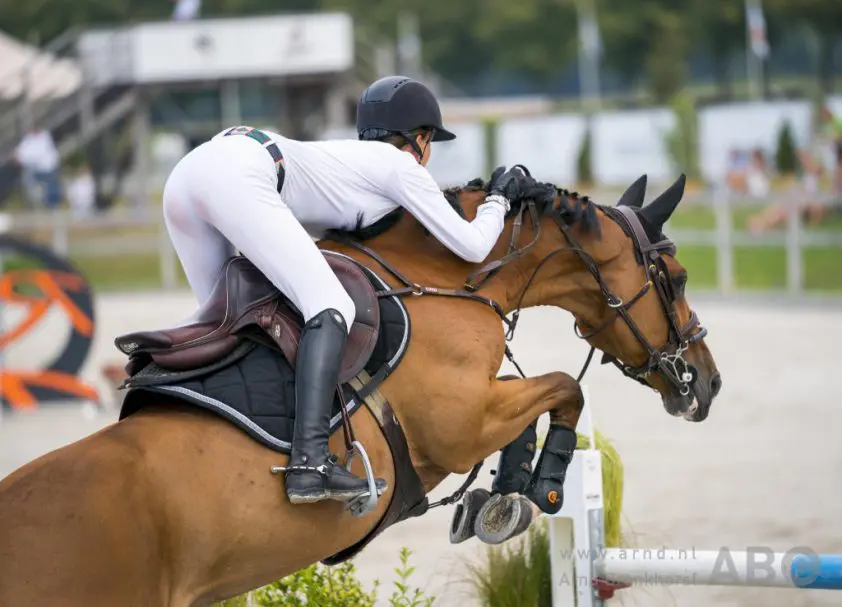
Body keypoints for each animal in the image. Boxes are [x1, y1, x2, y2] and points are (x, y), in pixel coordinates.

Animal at [0, 172, 721, 606]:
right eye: (678, 278)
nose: (707, 384)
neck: (446, 280)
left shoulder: (477, 409)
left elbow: (540, 398)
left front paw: (499, 494)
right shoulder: (459, 423)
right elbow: (560, 390)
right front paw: (533, 488)